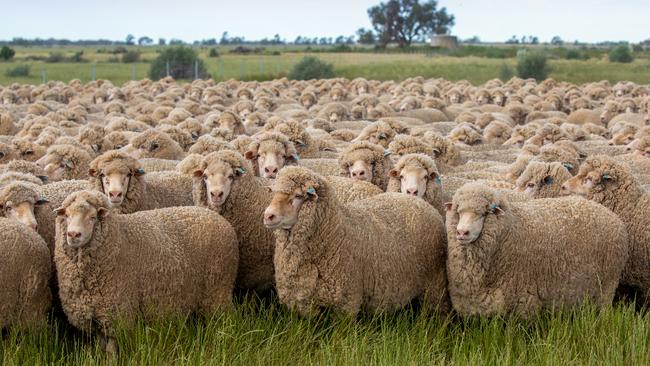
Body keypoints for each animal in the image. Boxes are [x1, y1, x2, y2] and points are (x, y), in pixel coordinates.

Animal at [53, 190, 235, 350]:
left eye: (92, 218)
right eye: (67, 215)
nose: (73, 234)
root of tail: (219, 219)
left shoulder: (116, 313)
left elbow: (111, 349)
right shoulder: (96, 315)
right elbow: (101, 347)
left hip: (217, 289)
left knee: (222, 321)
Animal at [260, 167, 448, 316]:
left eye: (298, 195)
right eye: (274, 193)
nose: (268, 216)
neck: (335, 231)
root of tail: (418, 201)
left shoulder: (345, 302)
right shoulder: (305, 303)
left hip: (435, 283)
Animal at [446, 183, 628, 318]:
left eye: (484, 213)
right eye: (458, 212)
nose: (461, 232)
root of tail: (611, 215)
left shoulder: (525, 300)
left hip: (606, 288)